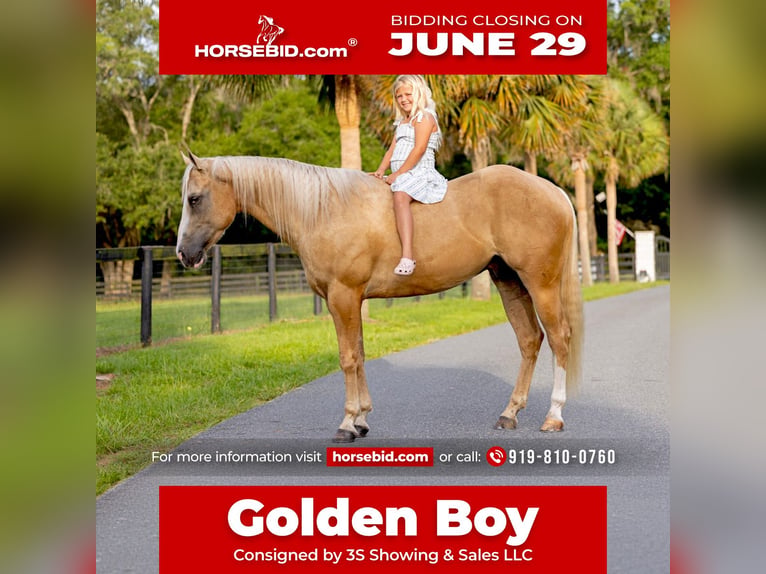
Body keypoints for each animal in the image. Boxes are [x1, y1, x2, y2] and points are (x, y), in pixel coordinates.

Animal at [176, 152, 583, 443]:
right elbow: (359, 354)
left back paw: (554, 416)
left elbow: (347, 357)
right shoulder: (349, 300)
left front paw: (347, 423)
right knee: (529, 340)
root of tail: (554, 192)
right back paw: (509, 414)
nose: (183, 253)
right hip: (508, 280)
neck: (325, 210)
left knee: (559, 339)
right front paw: (362, 420)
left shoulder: (342, 296)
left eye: (194, 199)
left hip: (540, 284)